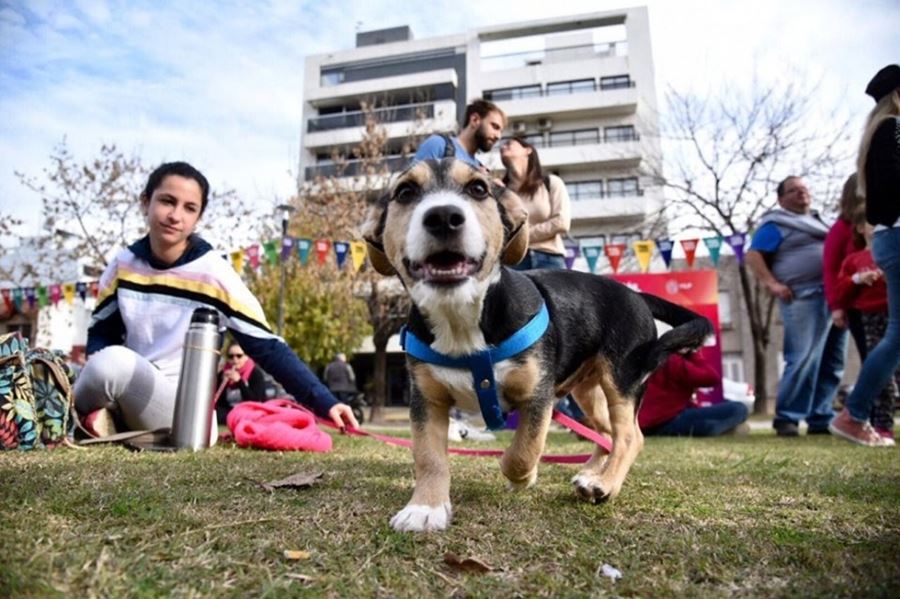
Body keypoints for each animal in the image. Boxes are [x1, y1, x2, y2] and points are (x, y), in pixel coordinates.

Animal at [358, 157, 712, 532]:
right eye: (405, 192)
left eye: (478, 189)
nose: (443, 216)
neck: (461, 318)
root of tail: (636, 295)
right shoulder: (427, 400)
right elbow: (428, 457)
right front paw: (425, 507)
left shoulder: (537, 396)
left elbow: (523, 450)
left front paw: (523, 477)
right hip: (587, 391)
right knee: (606, 433)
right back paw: (591, 475)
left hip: (622, 378)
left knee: (630, 436)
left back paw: (604, 483)